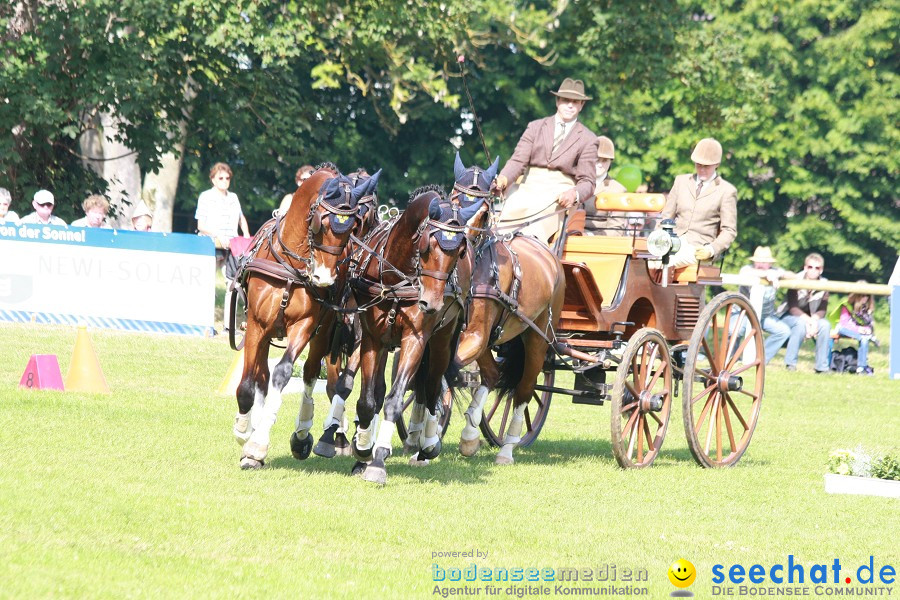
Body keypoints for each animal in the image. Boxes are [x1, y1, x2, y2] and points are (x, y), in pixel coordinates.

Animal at [234, 166, 374, 472]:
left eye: (350, 229)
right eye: (322, 224)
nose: (323, 278)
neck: (291, 264)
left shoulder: (305, 325)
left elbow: (285, 372)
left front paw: (258, 445)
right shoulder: (256, 325)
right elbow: (248, 384)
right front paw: (244, 433)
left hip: (323, 331)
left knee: (310, 373)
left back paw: (303, 434)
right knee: (262, 375)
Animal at [348, 185, 486, 486]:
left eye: (459, 251)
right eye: (427, 245)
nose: (431, 303)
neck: (395, 279)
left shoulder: (415, 340)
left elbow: (395, 400)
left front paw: (378, 461)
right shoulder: (372, 339)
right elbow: (367, 400)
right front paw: (362, 449)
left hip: (442, 340)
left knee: (433, 386)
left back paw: (428, 444)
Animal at [454, 155, 568, 464]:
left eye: (483, 209)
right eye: (455, 199)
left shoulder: (475, 335)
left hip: (538, 337)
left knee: (525, 389)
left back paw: (507, 448)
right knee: (494, 375)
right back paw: (471, 435)